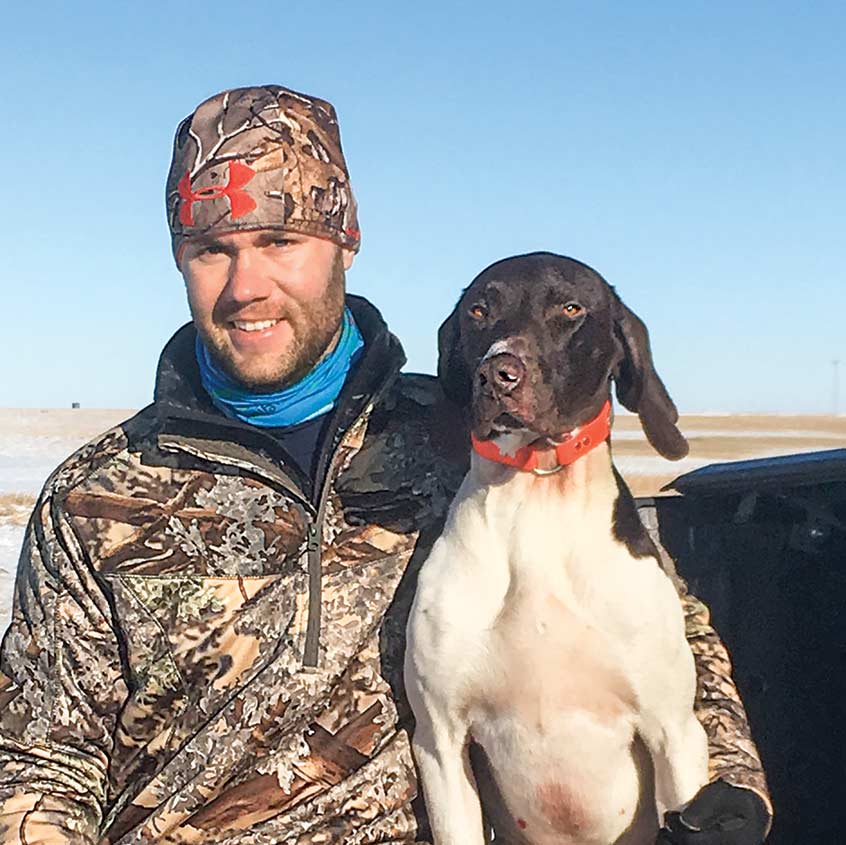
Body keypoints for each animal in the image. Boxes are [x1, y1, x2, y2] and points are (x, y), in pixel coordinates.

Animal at [404, 253, 708, 845]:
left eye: (570, 309)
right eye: (479, 310)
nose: (498, 374)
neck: (537, 502)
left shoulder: (676, 735)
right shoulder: (440, 743)